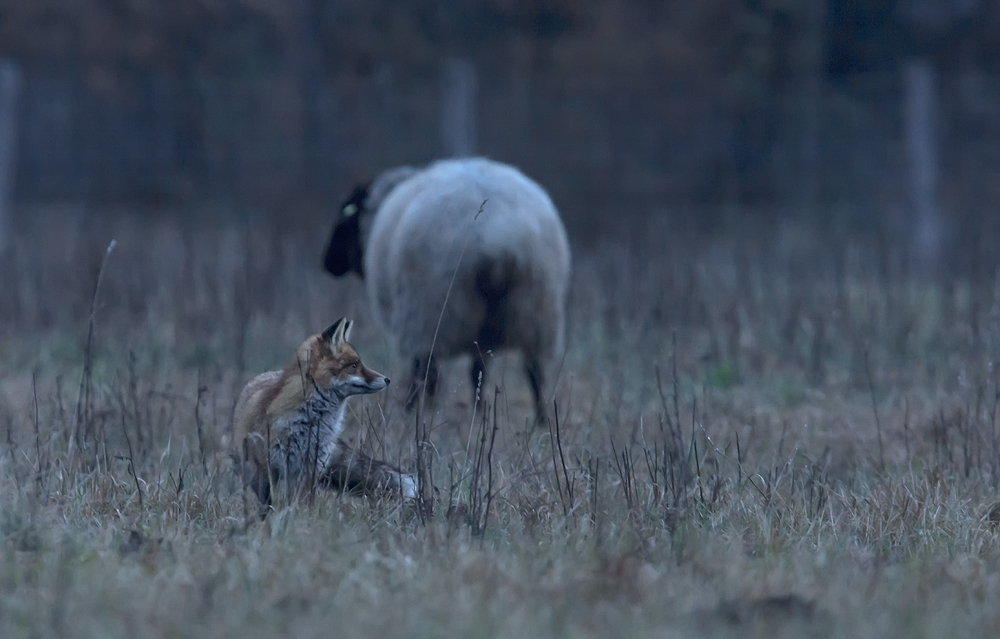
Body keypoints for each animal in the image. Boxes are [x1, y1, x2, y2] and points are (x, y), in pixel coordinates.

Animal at [230, 318, 417, 516]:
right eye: (354, 365)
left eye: (359, 363)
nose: (387, 380)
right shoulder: (265, 469)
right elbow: (268, 503)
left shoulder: (308, 469)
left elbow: (302, 504)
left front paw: (301, 519)